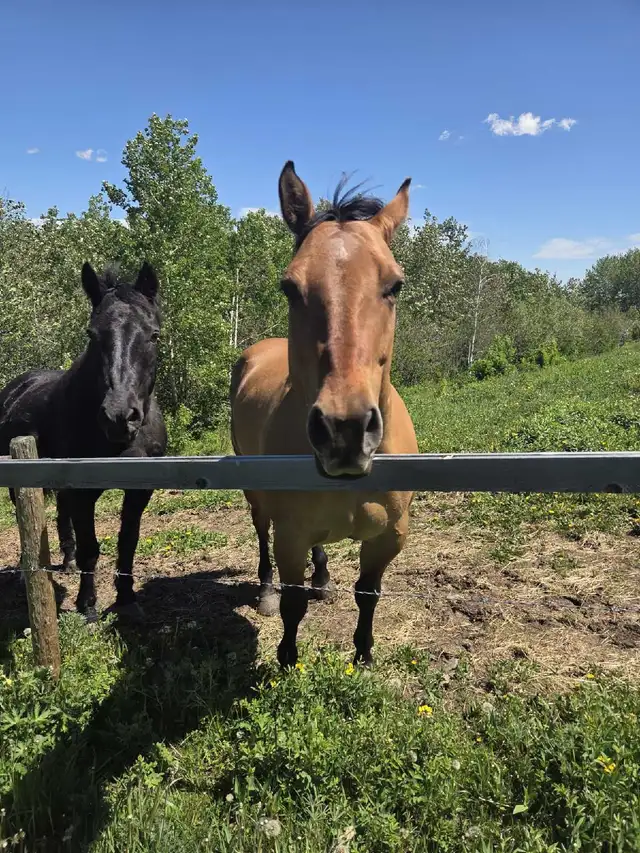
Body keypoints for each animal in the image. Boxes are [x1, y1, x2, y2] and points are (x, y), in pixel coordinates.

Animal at [0, 261, 167, 619]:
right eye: (92, 334)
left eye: (154, 335)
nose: (119, 416)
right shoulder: (83, 491)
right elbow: (91, 547)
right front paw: (87, 605)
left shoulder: (139, 490)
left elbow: (127, 542)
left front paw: (127, 600)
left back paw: (67, 563)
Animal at [230, 162, 418, 668]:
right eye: (290, 287)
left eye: (395, 284)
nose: (344, 430)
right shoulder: (290, 536)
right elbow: (293, 605)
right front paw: (287, 659)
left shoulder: (389, 538)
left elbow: (368, 594)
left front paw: (364, 655)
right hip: (257, 499)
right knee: (261, 536)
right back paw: (266, 591)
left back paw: (323, 579)